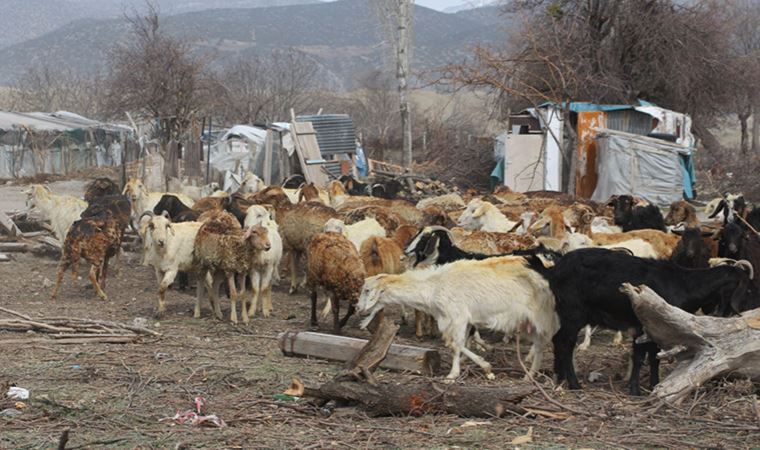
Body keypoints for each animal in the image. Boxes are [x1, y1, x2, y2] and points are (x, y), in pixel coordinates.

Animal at [356, 256, 560, 380]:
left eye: (367, 290)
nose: (358, 308)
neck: (434, 285)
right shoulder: (456, 319)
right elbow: (457, 345)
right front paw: (462, 368)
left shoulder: (458, 316)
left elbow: (457, 344)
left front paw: (470, 371)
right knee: (540, 347)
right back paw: (529, 374)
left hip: (543, 319)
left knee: (543, 345)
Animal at [528, 248, 760, 396]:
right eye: (747, 288)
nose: (740, 311)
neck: (683, 284)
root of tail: (554, 270)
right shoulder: (643, 325)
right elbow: (640, 357)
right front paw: (635, 390)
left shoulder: (660, 327)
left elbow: (654, 358)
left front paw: (655, 384)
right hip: (573, 313)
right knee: (566, 345)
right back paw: (574, 384)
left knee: (558, 342)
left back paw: (559, 379)